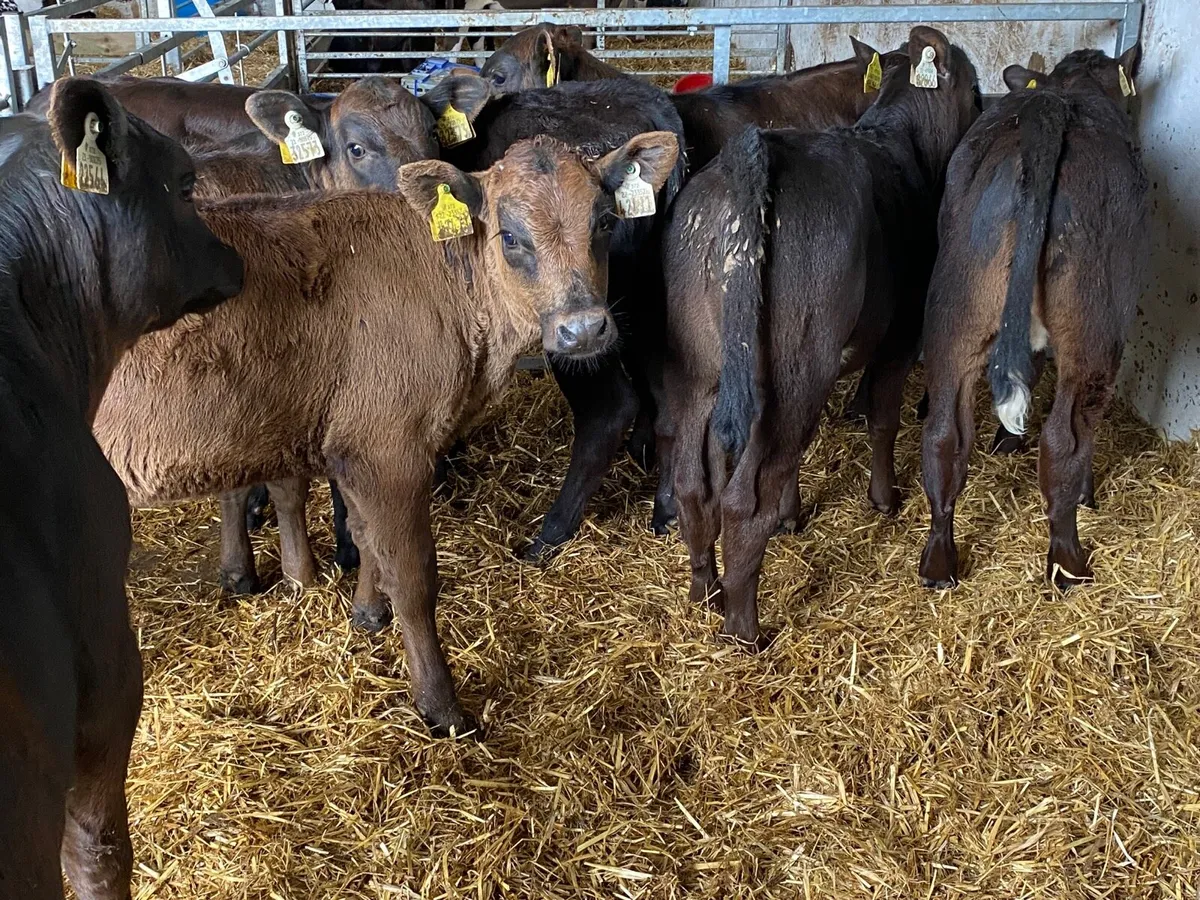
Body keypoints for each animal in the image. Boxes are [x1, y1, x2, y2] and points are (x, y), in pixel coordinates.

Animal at [92, 132, 681, 738]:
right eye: (511, 236)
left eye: (604, 221)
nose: (583, 329)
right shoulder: (390, 449)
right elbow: (412, 575)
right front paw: (441, 706)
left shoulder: (354, 444)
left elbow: (365, 535)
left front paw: (367, 613)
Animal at [663, 26, 979, 647]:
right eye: (976, 87)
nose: (984, 112)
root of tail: (750, 159)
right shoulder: (900, 338)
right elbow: (882, 419)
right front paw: (885, 499)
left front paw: (794, 515)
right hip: (795, 365)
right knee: (743, 502)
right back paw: (744, 628)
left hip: (700, 368)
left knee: (694, 482)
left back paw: (705, 589)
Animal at [918, 45, 1147, 591]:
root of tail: (1050, 109)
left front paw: (1006, 440)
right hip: (1094, 333)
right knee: (1065, 440)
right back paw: (1068, 563)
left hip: (955, 314)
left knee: (943, 437)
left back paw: (938, 564)